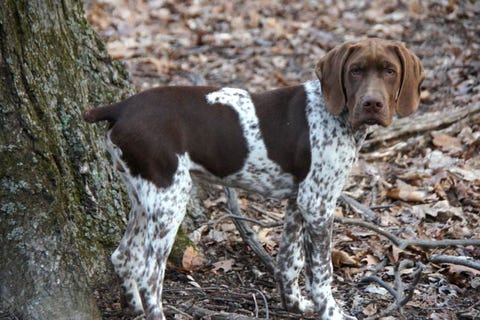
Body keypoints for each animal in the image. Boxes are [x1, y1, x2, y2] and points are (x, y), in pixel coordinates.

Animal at [82, 38, 424, 320]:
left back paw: (134, 309)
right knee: (149, 275)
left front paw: (295, 305)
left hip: (145, 197)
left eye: (389, 71)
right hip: (170, 199)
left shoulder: (297, 202)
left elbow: (289, 261)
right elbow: (321, 271)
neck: (336, 114)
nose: (372, 104)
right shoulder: (318, 204)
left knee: (124, 257)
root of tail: (121, 106)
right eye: (355, 71)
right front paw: (331, 312)